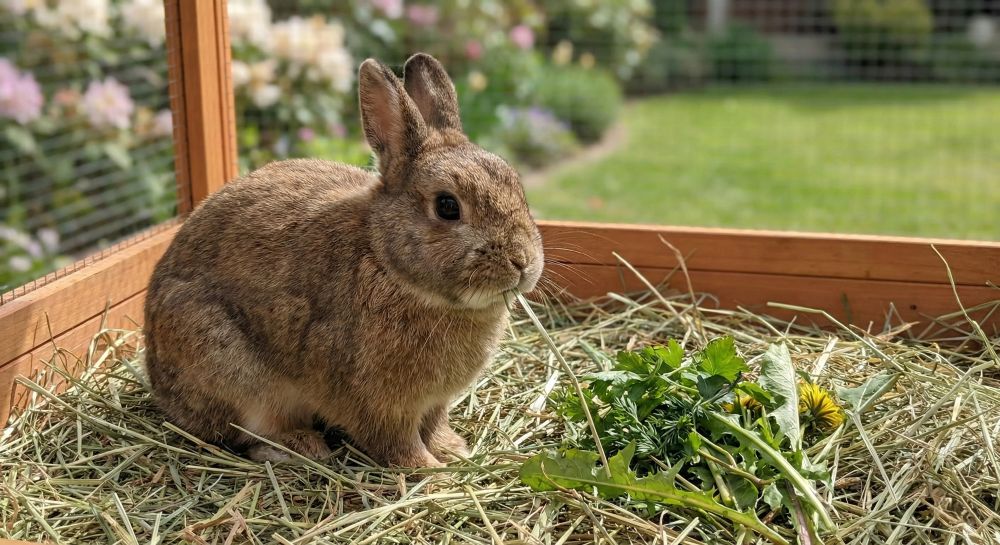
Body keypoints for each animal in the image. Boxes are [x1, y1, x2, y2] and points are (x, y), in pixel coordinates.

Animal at [143, 53, 544, 467]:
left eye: (517, 186)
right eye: (447, 206)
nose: (523, 263)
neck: (386, 262)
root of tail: (159, 382)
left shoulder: (434, 403)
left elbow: (434, 425)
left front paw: (454, 450)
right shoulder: (379, 404)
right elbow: (397, 443)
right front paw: (432, 471)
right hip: (236, 374)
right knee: (250, 431)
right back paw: (303, 446)